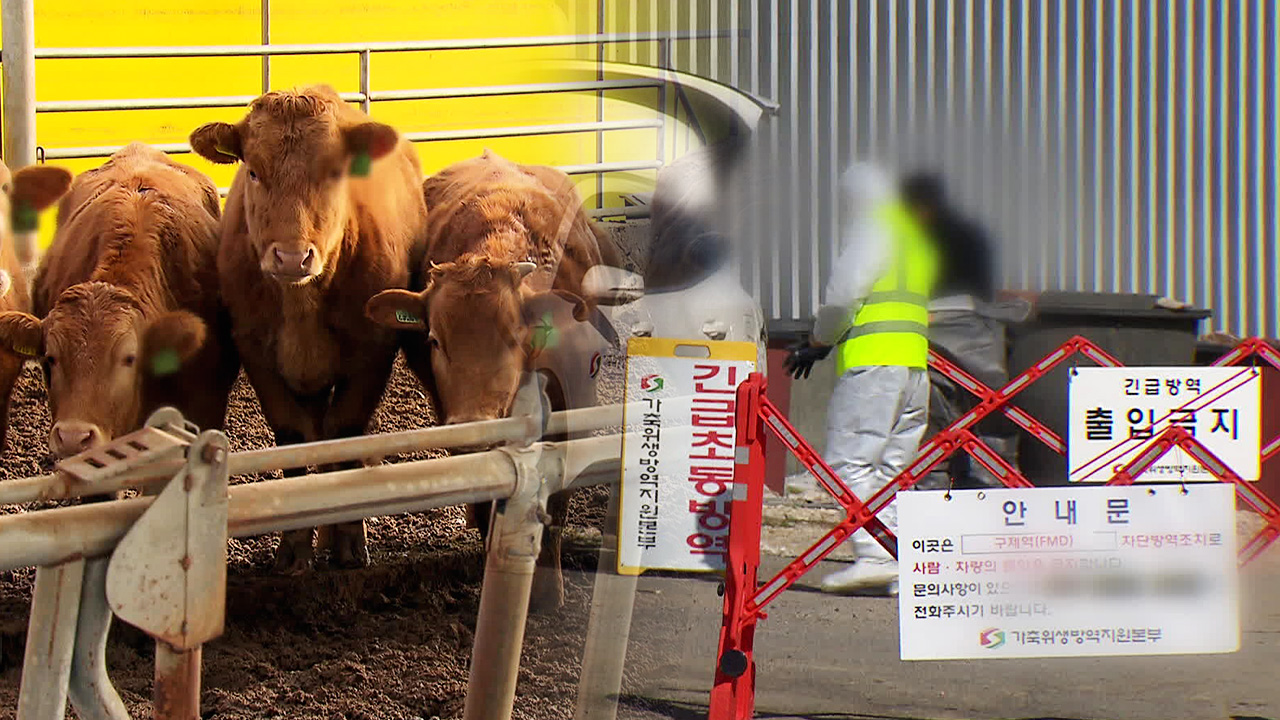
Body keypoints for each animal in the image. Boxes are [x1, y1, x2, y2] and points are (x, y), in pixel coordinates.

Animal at [189, 83, 427, 568]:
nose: (291, 257)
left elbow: (346, 435)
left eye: (336, 173)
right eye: (253, 171)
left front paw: (349, 541)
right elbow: (296, 437)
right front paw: (295, 545)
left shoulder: (372, 351)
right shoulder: (257, 353)